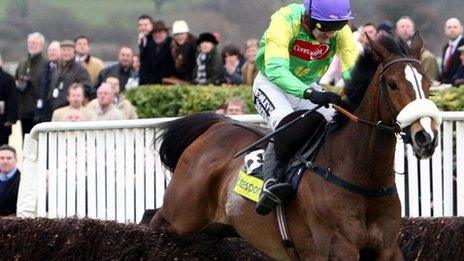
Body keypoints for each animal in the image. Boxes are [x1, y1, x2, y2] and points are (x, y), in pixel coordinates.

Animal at [150, 33, 440, 260]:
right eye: (392, 84)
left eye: (427, 84)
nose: (425, 136)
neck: (362, 176)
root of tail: (216, 127)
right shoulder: (339, 248)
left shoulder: (388, 249)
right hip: (180, 215)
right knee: (152, 221)